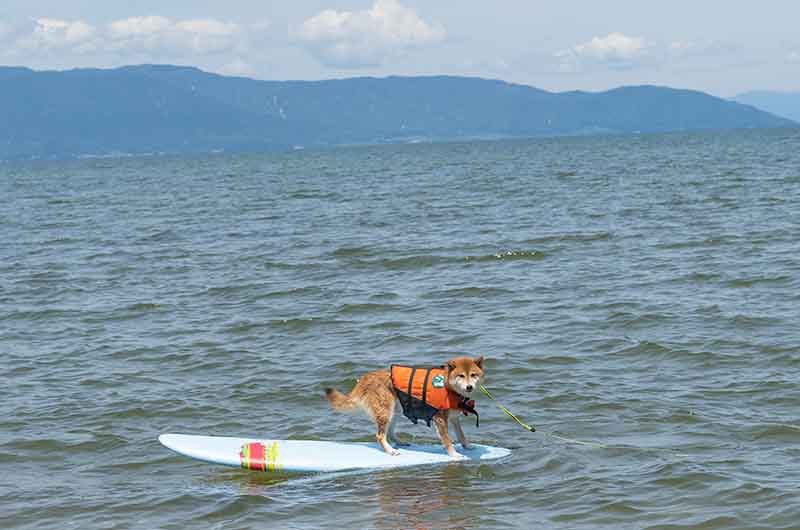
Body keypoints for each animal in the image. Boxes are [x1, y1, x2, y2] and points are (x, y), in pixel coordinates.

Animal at [324, 356, 484, 456]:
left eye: (473, 375)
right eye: (461, 375)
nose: (469, 387)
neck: (447, 385)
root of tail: (364, 379)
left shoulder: (454, 418)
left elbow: (461, 434)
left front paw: (467, 446)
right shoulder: (440, 419)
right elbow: (447, 439)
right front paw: (454, 454)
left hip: (395, 411)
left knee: (389, 432)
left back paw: (400, 442)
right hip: (386, 410)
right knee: (380, 435)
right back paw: (390, 451)